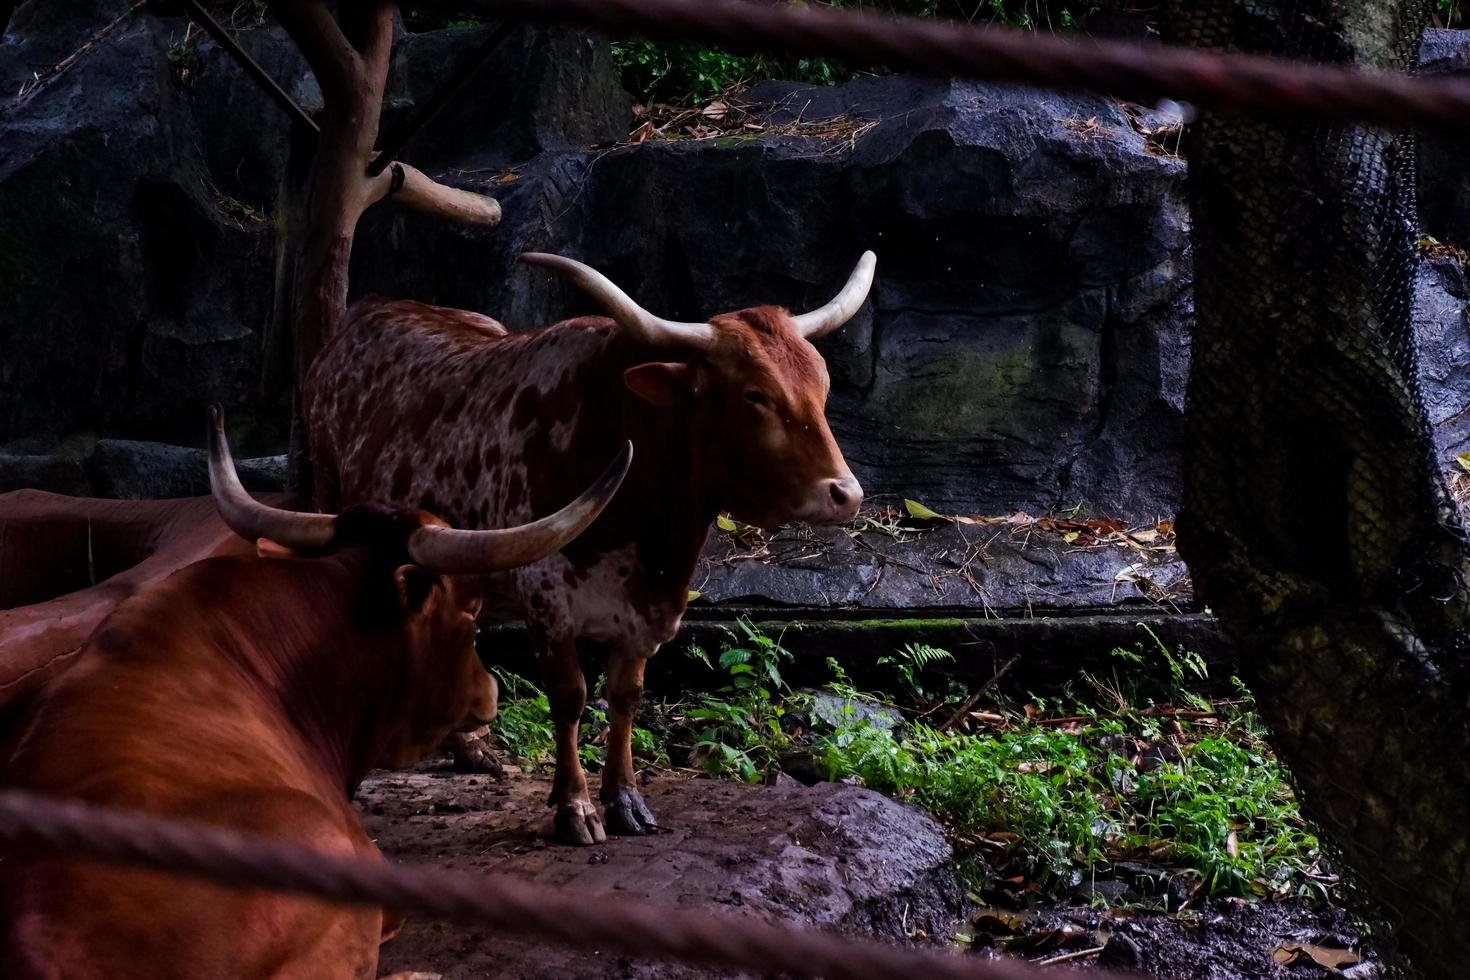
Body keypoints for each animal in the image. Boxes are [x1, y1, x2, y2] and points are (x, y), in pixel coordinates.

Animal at [301, 252, 870, 846]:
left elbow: (625, 696)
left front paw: (624, 798)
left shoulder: (647, 612)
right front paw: (574, 805)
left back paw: (467, 747)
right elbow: (570, 697)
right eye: (754, 394)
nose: (845, 493)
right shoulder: (548, 603)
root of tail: (370, 309)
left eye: (822, 383)